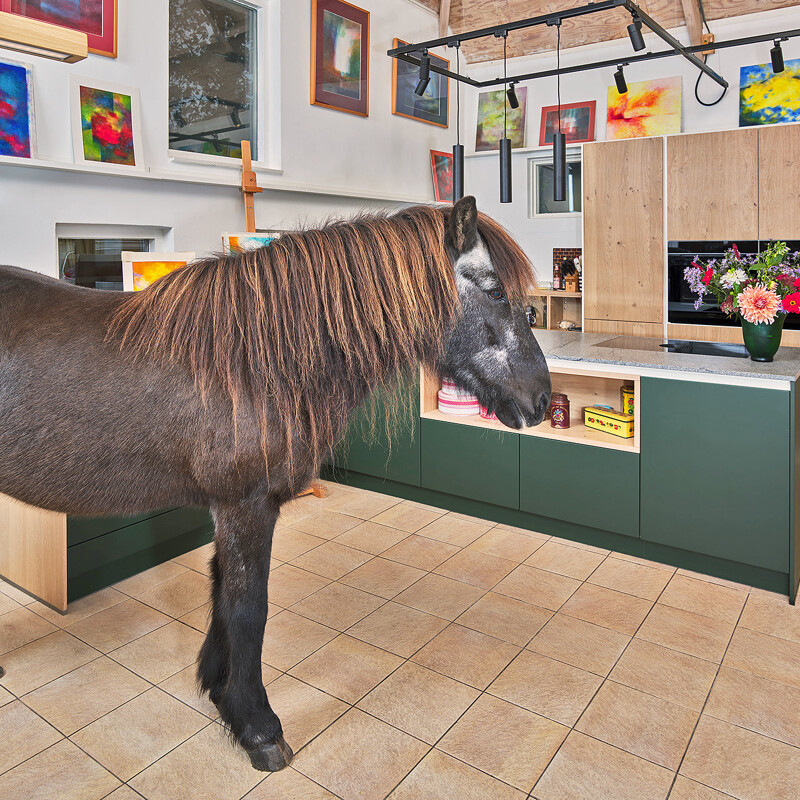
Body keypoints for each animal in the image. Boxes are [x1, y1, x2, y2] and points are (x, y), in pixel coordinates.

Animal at [0, 196, 551, 771]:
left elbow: (221, 590)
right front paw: (258, 728)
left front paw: (219, 691)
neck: (250, 364)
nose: (541, 399)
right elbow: (248, 609)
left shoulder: (231, 510)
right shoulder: (245, 506)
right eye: (494, 291)